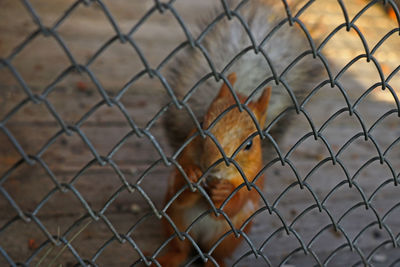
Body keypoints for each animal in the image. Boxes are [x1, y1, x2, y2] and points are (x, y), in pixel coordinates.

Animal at [158, 73, 274, 267]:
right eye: (201, 123)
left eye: (249, 144)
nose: (209, 164)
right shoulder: (182, 161)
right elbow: (178, 194)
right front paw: (192, 176)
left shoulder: (251, 180)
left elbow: (236, 204)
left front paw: (223, 192)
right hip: (176, 222)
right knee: (180, 248)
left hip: (228, 239)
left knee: (215, 253)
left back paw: (215, 261)